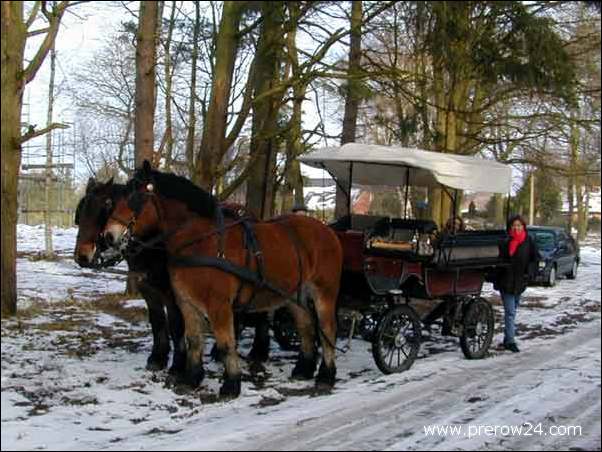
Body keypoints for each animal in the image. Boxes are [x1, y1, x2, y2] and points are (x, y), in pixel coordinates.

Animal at [103, 162, 342, 396]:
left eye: (135, 197)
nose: (108, 236)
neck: (200, 241)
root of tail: (327, 231)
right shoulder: (186, 303)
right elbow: (194, 340)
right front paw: (191, 379)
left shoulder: (218, 305)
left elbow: (226, 343)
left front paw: (231, 385)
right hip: (294, 295)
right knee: (306, 327)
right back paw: (304, 369)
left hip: (324, 292)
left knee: (327, 330)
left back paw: (326, 376)